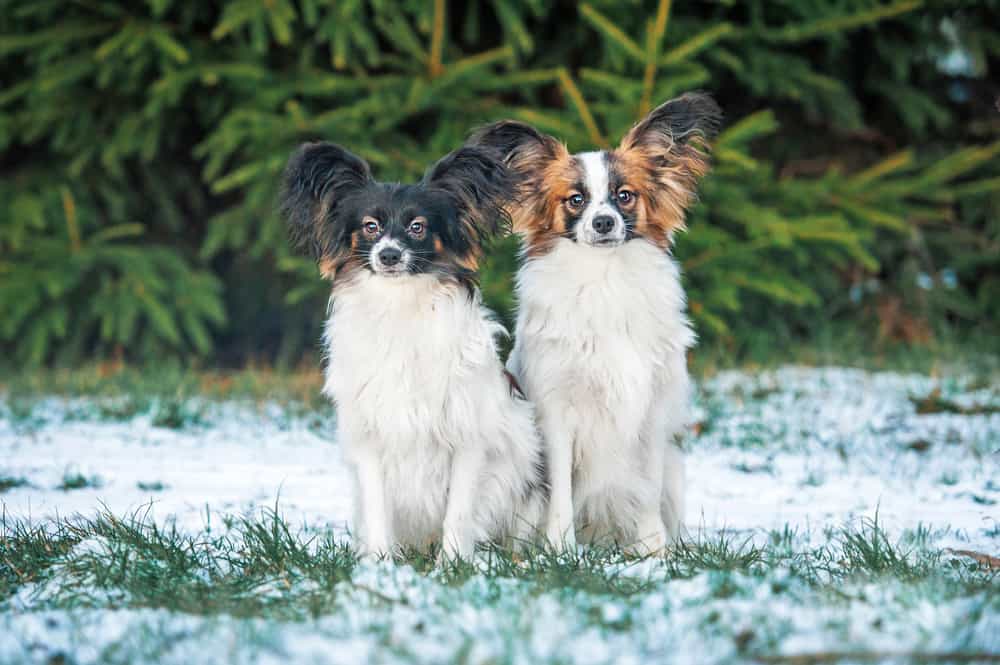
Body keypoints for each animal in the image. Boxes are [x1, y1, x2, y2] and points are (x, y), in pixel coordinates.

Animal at [282, 143, 548, 556]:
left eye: (417, 227)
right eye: (370, 226)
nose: (389, 256)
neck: (400, 303)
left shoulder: (468, 438)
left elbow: (458, 513)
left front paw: (453, 563)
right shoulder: (371, 440)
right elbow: (377, 509)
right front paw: (379, 563)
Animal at [468, 91, 720, 552]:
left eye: (624, 196)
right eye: (575, 200)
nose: (603, 223)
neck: (605, 278)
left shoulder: (650, 414)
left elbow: (646, 490)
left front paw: (653, 551)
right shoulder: (555, 412)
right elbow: (561, 493)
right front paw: (560, 549)